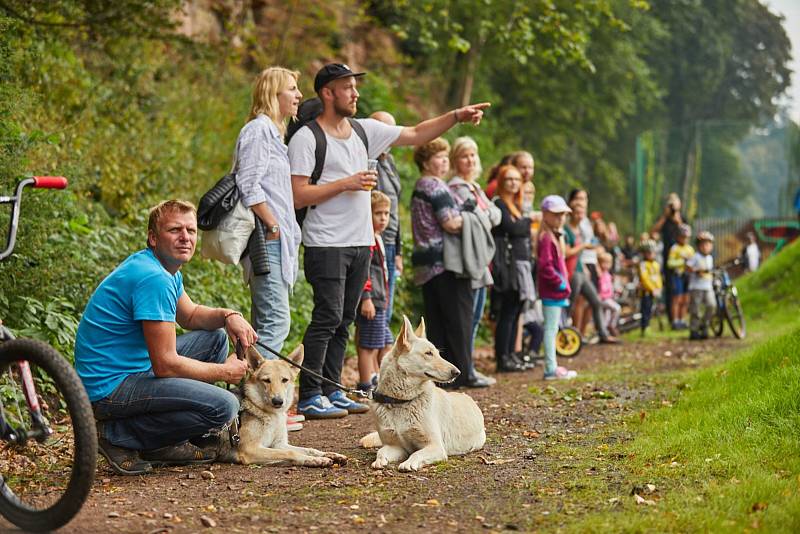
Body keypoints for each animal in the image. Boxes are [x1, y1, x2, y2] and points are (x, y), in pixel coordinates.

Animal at [217, 348, 346, 468]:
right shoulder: (251, 449)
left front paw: (329, 455)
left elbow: (309, 449)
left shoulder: (278, 444)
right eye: (266, 380)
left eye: (284, 380)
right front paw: (316, 460)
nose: (278, 401)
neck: (270, 414)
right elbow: (290, 453)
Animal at [360, 318, 484, 474]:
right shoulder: (397, 447)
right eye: (428, 353)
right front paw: (379, 461)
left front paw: (408, 463)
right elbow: (381, 451)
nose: (457, 372)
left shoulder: (436, 446)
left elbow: (416, 453)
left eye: (438, 353)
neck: (401, 401)